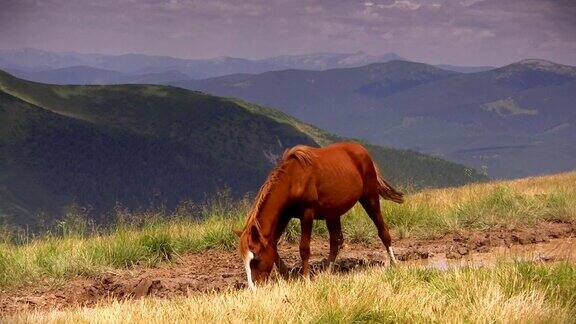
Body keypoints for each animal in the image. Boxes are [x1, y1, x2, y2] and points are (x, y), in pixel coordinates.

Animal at [232, 142, 402, 288]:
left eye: (255, 258)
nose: (254, 288)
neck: (294, 179)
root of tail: (363, 151)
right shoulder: (284, 216)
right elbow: (273, 245)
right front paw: (288, 275)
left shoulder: (307, 213)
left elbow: (304, 248)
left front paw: (305, 278)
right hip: (333, 213)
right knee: (336, 241)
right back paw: (327, 273)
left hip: (370, 197)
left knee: (382, 231)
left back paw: (394, 263)